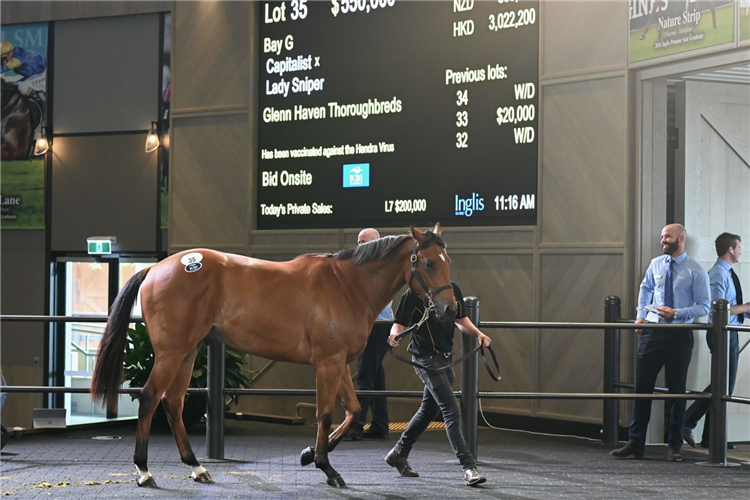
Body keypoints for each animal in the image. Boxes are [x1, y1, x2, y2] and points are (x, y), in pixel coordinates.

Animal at [91, 224, 456, 488]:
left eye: (447, 261)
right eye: (428, 263)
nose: (450, 310)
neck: (347, 284)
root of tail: (155, 269)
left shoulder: (338, 363)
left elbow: (352, 411)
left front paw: (309, 454)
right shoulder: (327, 363)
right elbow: (325, 414)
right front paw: (327, 468)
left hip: (188, 353)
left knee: (174, 403)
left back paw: (196, 467)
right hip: (171, 353)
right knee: (150, 397)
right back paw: (144, 471)